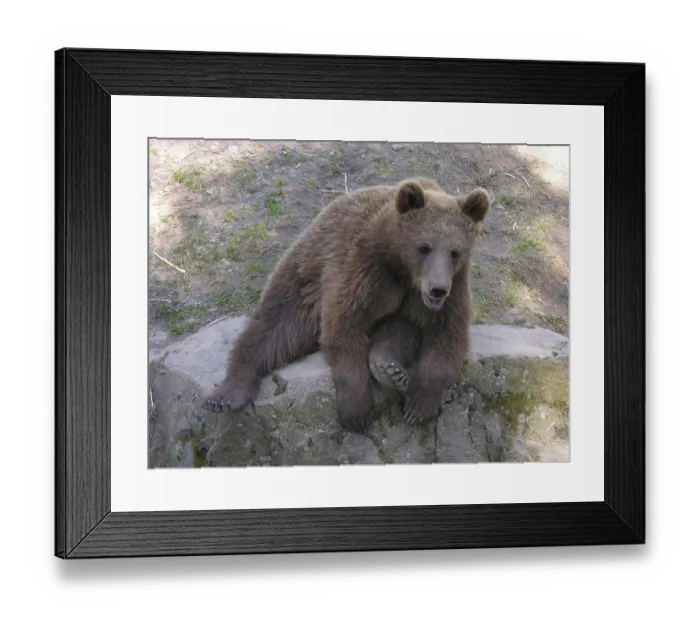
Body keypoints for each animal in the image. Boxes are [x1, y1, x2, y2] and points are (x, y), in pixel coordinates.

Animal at [204, 177, 491, 433]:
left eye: (455, 252)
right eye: (424, 247)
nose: (437, 288)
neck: (402, 270)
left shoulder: (452, 291)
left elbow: (447, 337)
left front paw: (419, 404)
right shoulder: (365, 271)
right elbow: (344, 327)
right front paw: (357, 411)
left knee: (399, 329)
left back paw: (387, 367)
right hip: (307, 275)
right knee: (277, 327)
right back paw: (227, 394)